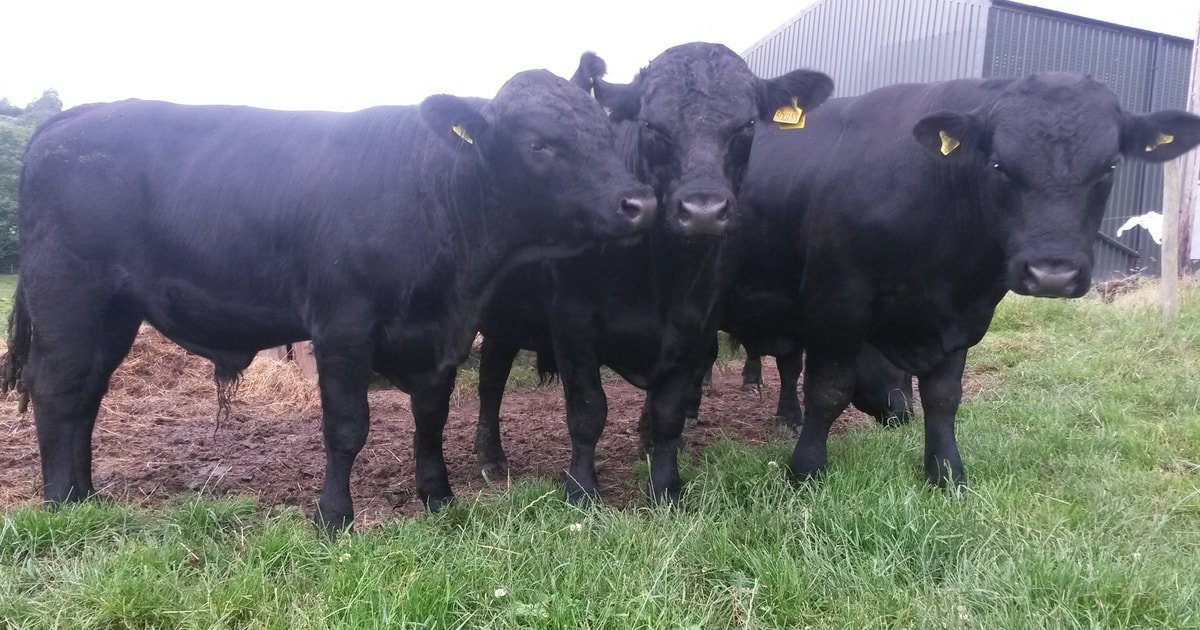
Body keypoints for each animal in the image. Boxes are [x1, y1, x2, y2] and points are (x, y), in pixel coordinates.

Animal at [0, 69, 659, 534]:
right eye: (540, 144)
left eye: (605, 134)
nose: (640, 203)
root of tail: (72, 119)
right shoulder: (342, 325)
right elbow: (346, 427)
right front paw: (334, 516)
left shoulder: (444, 333)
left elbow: (431, 416)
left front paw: (439, 498)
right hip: (70, 299)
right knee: (58, 390)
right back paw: (60, 504)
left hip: (113, 315)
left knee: (86, 394)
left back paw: (86, 496)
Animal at [472, 43, 834, 504]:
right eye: (650, 125)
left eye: (749, 124)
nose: (702, 211)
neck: (660, 278)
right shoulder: (571, 320)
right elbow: (588, 410)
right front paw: (581, 490)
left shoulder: (699, 325)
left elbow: (668, 413)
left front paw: (665, 485)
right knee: (491, 381)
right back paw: (490, 457)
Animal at [733, 72, 1200, 489]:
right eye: (998, 165)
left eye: (1110, 166)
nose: (1053, 273)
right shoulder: (837, 303)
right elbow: (829, 389)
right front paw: (805, 472)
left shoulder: (963, 315)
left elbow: (943, 397)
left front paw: (946, 475)